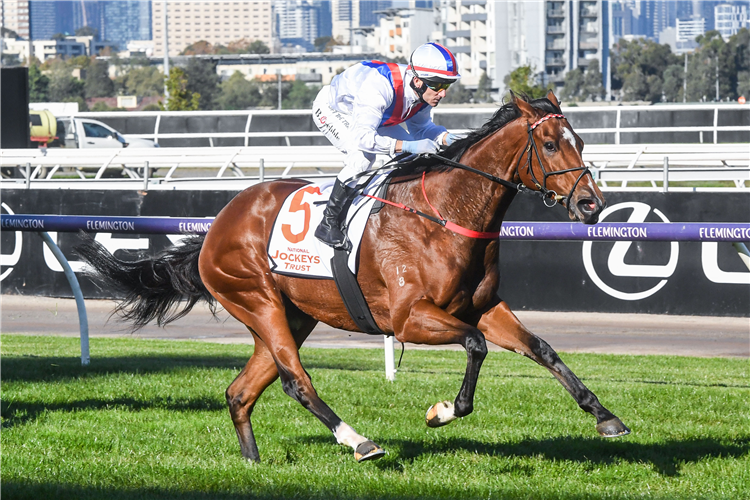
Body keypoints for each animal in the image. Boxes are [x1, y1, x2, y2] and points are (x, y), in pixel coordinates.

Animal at [76, 92, 632, 462]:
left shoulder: (482, 306)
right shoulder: (410, 319)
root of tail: (216, 226)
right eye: (550, 144)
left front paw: (604, 415)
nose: (591, 205)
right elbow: (475, 347)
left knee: (241, 391)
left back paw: (253, 463)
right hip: (258, 300)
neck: (446, 213)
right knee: (296, 382)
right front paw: (442, 410)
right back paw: (358, 441)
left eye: (580, 140)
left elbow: (542, 348)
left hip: (293, 315)